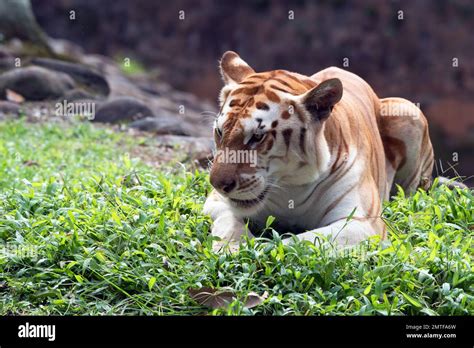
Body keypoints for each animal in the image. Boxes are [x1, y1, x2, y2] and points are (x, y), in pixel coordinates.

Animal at [202, 50, 436, 251]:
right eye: (220, 132)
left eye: (257, 137)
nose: (218, 184)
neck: (291, 185)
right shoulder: (216, 203)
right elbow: (229, 223)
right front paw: (232, 247)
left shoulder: (361, 222)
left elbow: (297, 242)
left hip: (407, 109)